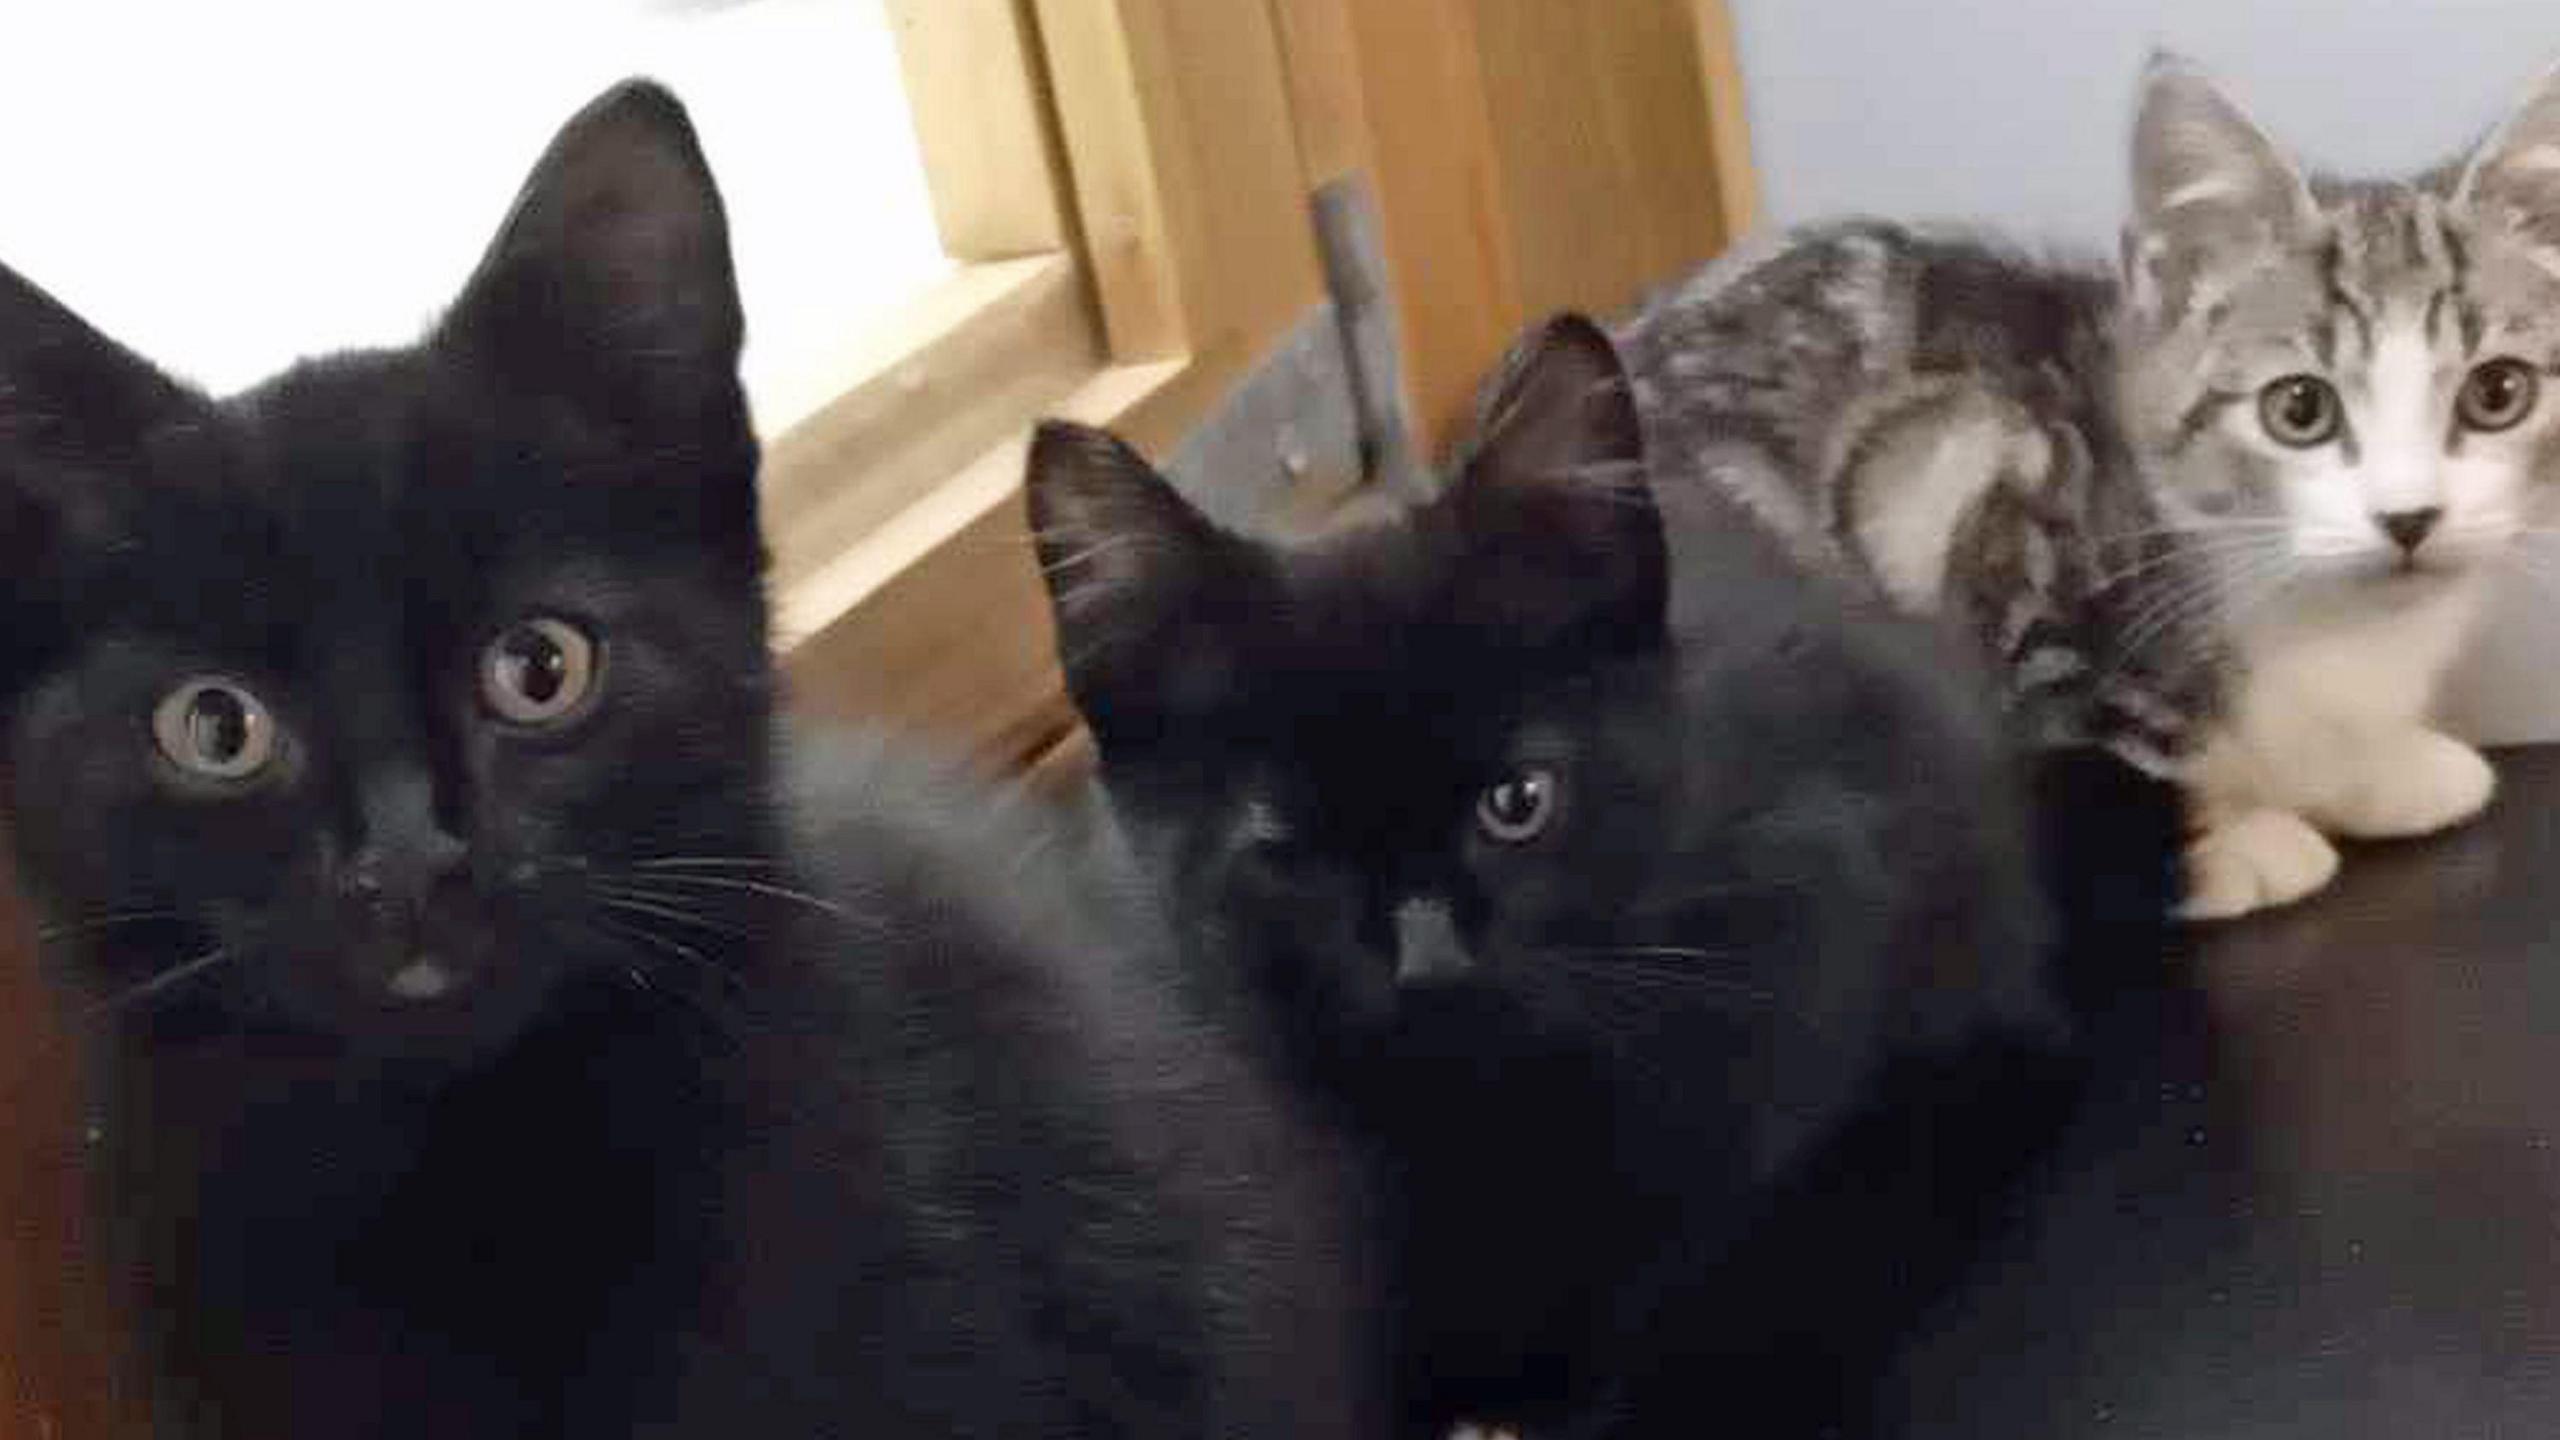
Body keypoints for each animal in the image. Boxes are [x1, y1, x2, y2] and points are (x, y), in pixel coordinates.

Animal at [1617, 53, 2560, 917]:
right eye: (2300, 408)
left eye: (2498, 393)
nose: (2411, 517)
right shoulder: (1951, 472)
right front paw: (2229, 847)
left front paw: (2381, 769)